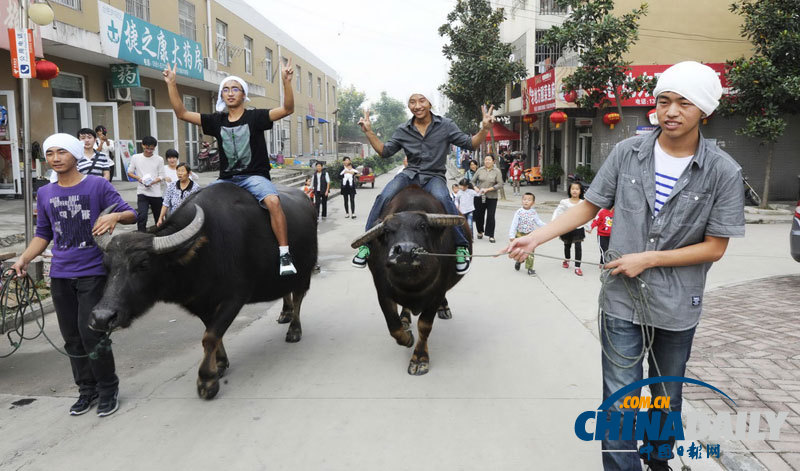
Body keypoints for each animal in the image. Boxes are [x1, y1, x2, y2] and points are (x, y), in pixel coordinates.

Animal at [86, 183, 314, 400]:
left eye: (143, 265)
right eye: (106, 265)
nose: (102, 317)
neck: (204, 251)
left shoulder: (235, 297)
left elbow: (210, 337)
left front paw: (207, 380)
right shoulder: (201, 303)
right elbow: (212, 333)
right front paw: (220, 363)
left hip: (304, 273)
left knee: (299, 297)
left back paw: (294, 329)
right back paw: (285, 313)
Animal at [348, 185, 468, 376]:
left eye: (422, 226)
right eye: (387, 231)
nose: (404, 251)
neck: (412, 282)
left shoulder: (437, 292)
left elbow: (424, 326)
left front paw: (419, 359)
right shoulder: (382, 291)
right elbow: (393, 326)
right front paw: (408, 338)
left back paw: (444, 309)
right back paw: (405, 317)